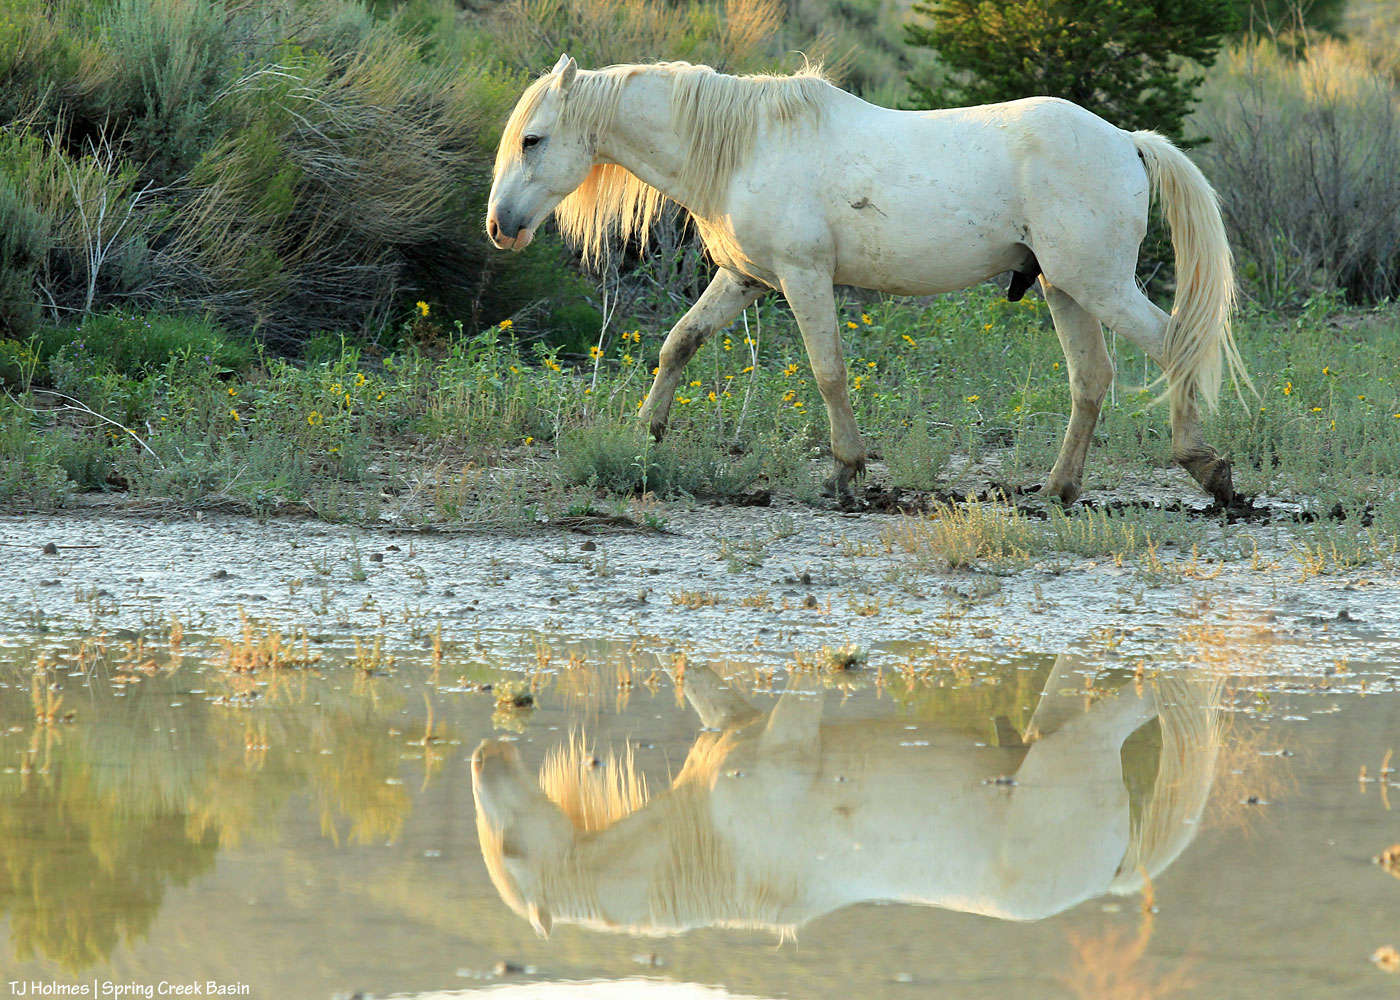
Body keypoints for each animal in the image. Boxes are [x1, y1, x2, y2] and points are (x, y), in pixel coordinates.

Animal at [471, 657, 1223, 939]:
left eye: (510, 849)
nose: (484, 756)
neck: (718, 845)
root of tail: (1113, 873)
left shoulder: (790, 733)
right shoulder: (733, 721)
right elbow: (699, 682)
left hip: (1083, 742)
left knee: (1146, 696)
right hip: (1054, 730)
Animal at [486, 56, 1251, 505]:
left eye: (533, 139)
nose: (500, 226)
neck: (748, 146)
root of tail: (1127, 141)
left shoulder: (803, 277)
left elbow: (828, 372)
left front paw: (846, 470)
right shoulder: (743, 280)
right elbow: (679, 343)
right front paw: (647, 434)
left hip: (1098, 286)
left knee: (1174, 345)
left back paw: (1205, 467)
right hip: (1065, 290)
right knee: (1091, 380)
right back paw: (1059, 489)